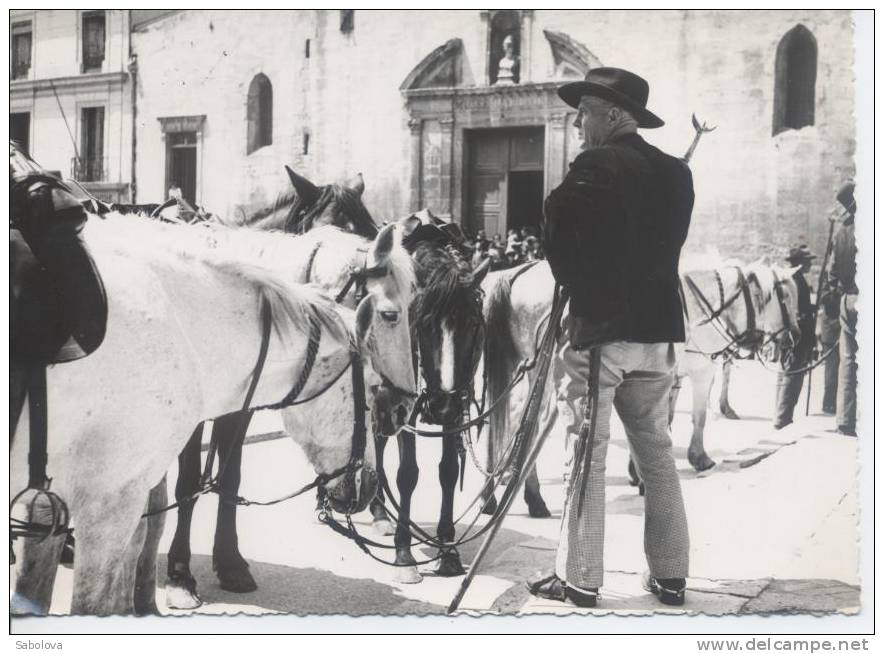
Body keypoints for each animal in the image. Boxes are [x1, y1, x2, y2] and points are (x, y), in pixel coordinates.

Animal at [10, 215, 412, 616]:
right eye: (390, 315)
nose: (403, 407)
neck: (186, 322)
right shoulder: (112, 493)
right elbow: (182, 490)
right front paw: (179, 578)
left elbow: (219, 483)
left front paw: (227, 565)